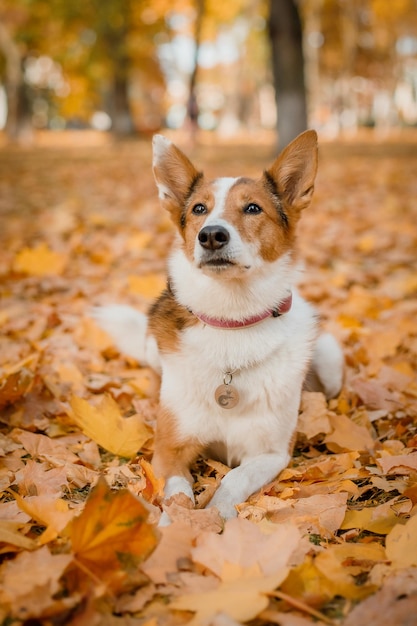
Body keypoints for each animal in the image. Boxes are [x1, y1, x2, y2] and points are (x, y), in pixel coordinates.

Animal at [93, 130, 342, 516]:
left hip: (330, 362)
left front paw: (217, 517)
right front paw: (177, 525)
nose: (211, 235)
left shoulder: (271, 453)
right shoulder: (168, 451)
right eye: (199, 209)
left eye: (253, 208)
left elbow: (232, 480)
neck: (232, 322)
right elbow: (178, 495)